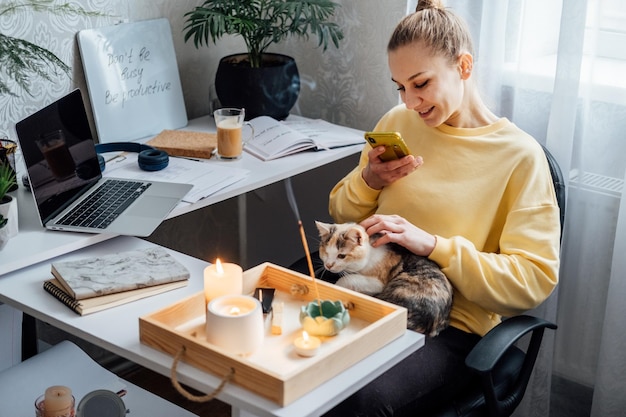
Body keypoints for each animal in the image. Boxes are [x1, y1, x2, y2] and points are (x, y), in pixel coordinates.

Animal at [314, 219, 450, 336]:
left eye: (341, 256)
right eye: (326, 252)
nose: (328, 265)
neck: (370, 252)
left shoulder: (378, 282)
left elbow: (348, 278)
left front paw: (336, 287)